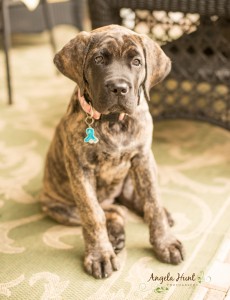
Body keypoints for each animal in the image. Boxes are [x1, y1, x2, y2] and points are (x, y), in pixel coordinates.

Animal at [40, 25, 185, 278]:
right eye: (98, 59)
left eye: (137, 62)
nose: (119, 88)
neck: (114, 122)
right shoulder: (80, 169)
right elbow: (93, 214)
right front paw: (99, 255)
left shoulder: (143, 158)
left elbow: (153, 202)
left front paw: (164, 242)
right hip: (58, 208)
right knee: (113, 210)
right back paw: (114, 236)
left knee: (129, 200)